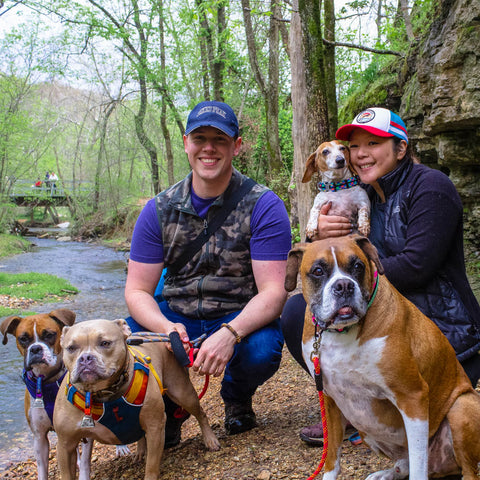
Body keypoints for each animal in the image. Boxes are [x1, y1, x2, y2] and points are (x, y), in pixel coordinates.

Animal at [0, 308, 92, 480]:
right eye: (23, 339)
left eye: (49, 335)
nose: (35, 349)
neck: (49, 381)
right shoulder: (39, 437)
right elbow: (42, 469)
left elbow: (85, 462)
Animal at [55, 318, 220, 480]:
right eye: (71, 348)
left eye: (105, 343)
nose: (85, 358)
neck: (103, 393)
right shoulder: (65, 445)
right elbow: (66, 473)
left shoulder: (155, 427)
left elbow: (151, 466)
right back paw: (140, 452)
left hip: (182, 393)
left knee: (200, 413)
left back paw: (210, 439)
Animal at [284, 236, 480, 480]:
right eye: (318, 271)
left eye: (358, 266)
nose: (344, 285)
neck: (342, 333)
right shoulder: (329, 399)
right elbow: (331, 460)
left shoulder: (412, 396)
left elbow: (418, 466)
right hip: (364, 428)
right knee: (405, 462)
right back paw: (387, 473)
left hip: (461, 406)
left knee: (461, 469)